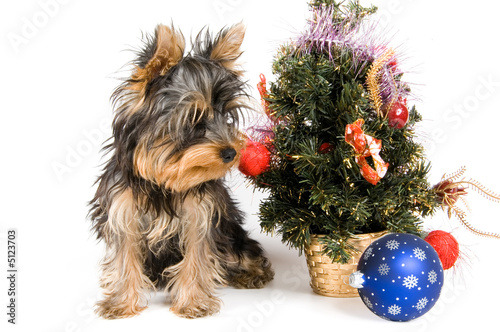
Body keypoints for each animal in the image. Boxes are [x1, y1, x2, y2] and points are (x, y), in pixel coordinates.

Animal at [89, 22, 274, 320]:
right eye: (194, 120)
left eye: (226, 116)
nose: (231, 152)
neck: (162, 182)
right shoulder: (122, 210)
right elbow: (124, 254)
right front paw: (121, 302)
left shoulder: (202, 213)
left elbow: (197, 256)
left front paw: (193, 302)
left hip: (232, 232)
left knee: (240, 250)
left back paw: (252, 273)